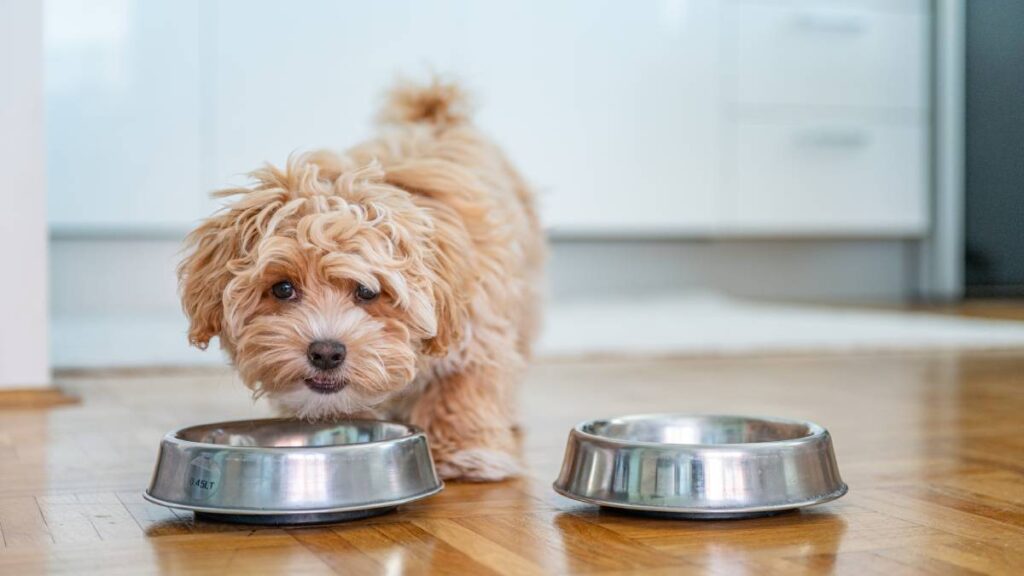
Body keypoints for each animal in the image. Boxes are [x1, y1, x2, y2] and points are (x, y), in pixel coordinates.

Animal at [176, 77, 544, 479]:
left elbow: (461, 386)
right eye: (283, 288)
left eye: (367, 291)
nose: (326, 352)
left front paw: (463, 451)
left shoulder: (476, 330)